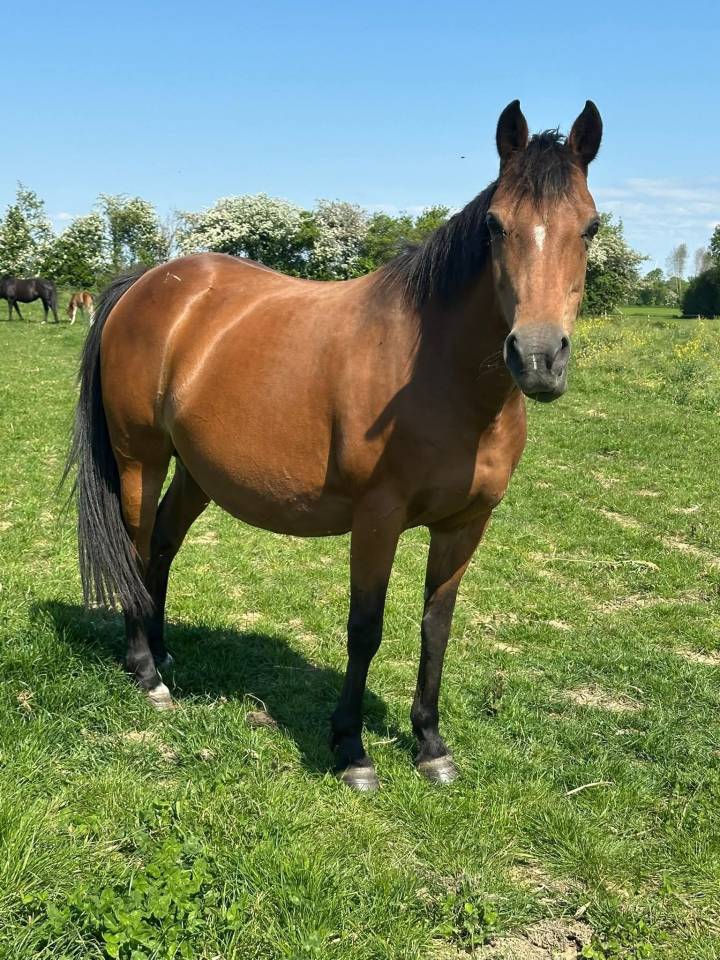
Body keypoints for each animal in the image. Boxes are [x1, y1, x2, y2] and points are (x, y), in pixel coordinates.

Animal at [65, 100, 602, 791]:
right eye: (495, 225)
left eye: (589, 228)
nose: (537, 358)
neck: (437, 374)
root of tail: (147, 281)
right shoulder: (378, 518)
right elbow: (365, 628)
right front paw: (351, 749)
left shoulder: (466, 524)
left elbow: (437, 628)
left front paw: (430, 745)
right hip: (142, 458)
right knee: (133, 548)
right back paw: (145, 672)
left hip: (196, 472)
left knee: (160, 544)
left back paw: (159, 650)